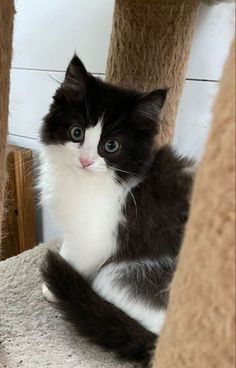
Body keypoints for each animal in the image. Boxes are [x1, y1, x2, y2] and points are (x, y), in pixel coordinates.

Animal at [40, 54, 194, 366]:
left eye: (110, 146)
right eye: (76, 133)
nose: (86, 161)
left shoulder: (97, 234)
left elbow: (76, 257)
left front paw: (53, 288)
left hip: (122, 276)